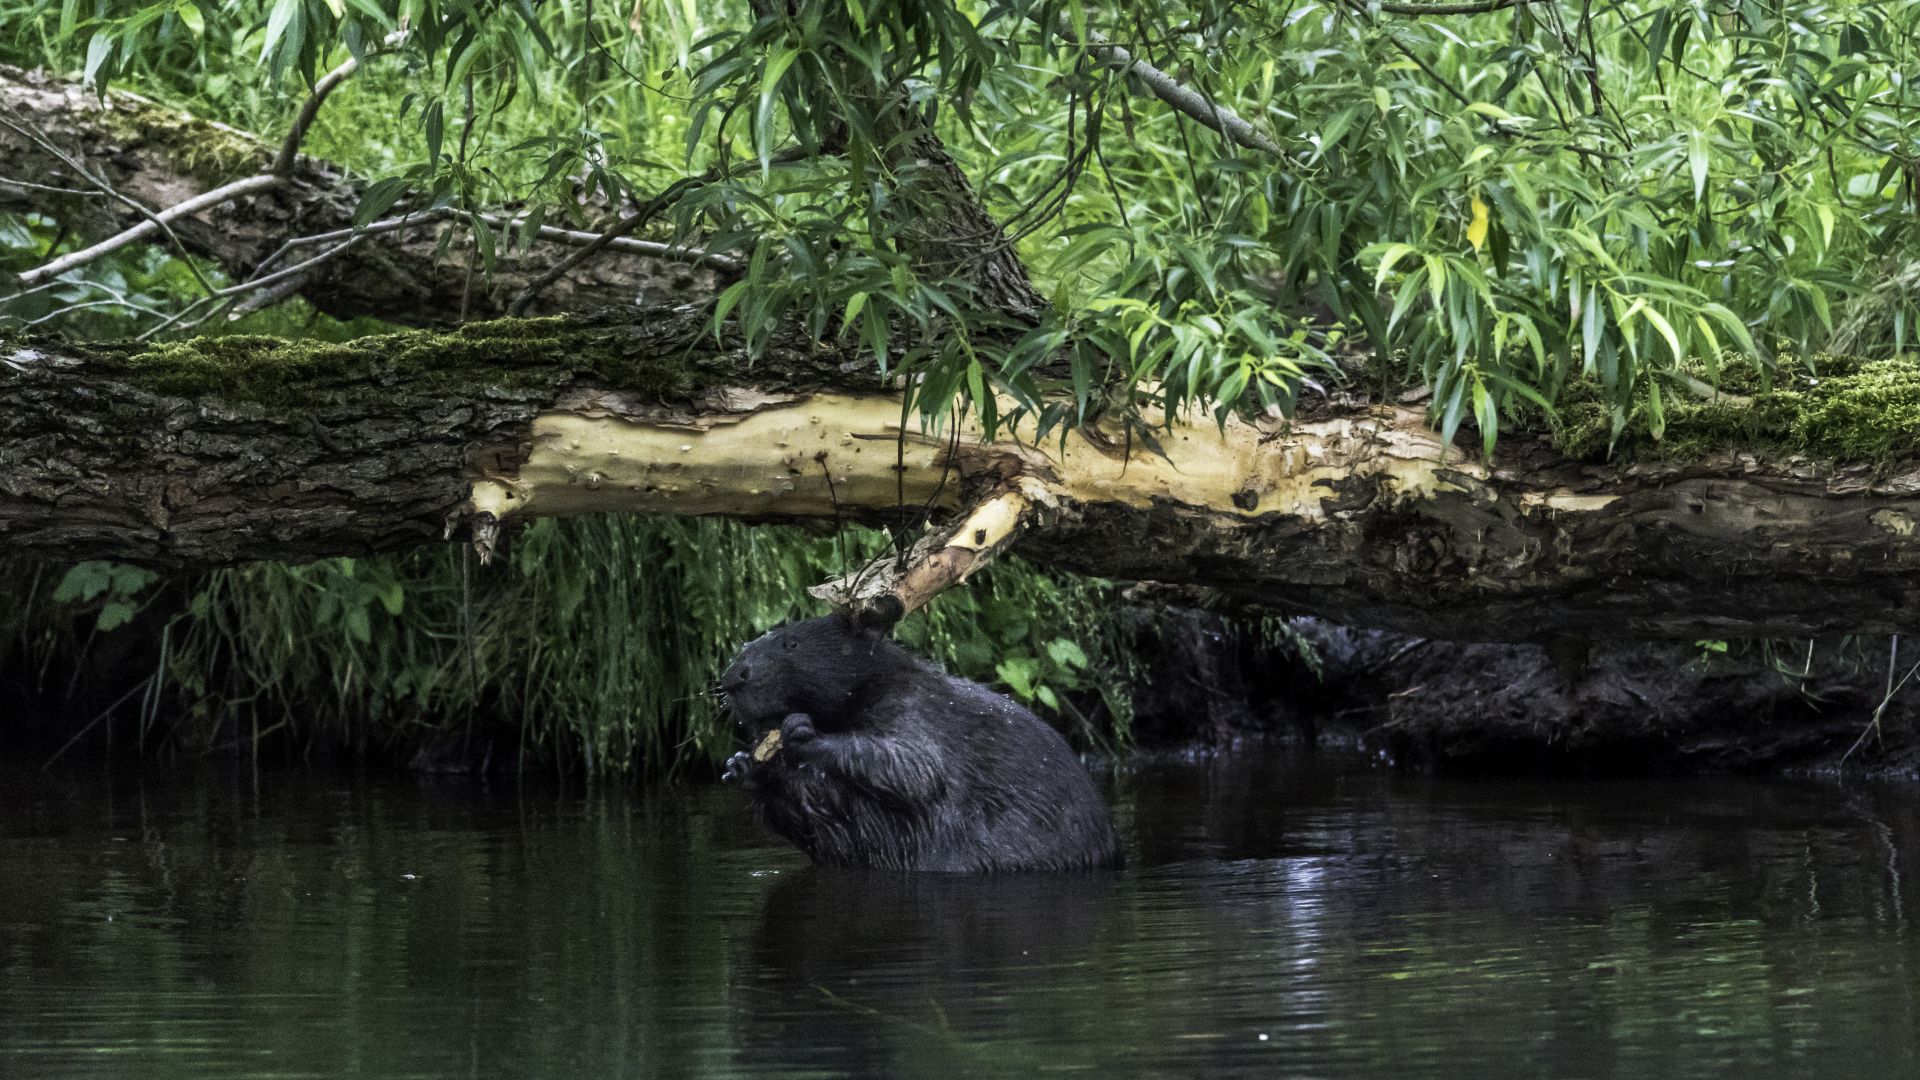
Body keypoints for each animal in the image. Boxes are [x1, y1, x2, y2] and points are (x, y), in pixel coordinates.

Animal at [721, 611, 1121, 868]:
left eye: (791, 642)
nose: (732, 676)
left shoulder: (916, 706)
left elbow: (914, 768)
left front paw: (803, 732)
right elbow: (816, 814)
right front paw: (742, 767)